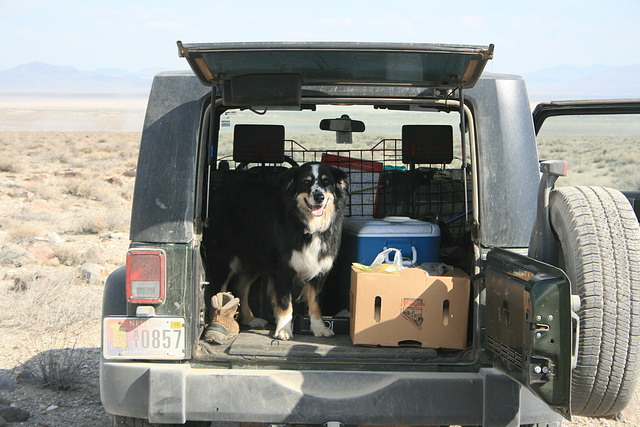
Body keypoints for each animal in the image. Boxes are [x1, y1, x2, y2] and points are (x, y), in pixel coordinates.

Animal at [204, 163, 344, 342]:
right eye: (306, 182)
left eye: (327, 182)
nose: (319, 197)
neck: (303, 224)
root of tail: (217, 192)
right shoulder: (282, 269)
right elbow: (284, 302)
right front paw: (283, 329)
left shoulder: (319, 269)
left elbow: (315, 302)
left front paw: (319, 327)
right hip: (224, 259)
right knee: (221, 290)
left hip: (253, 259)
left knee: (241, 287)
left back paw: (251, 319)